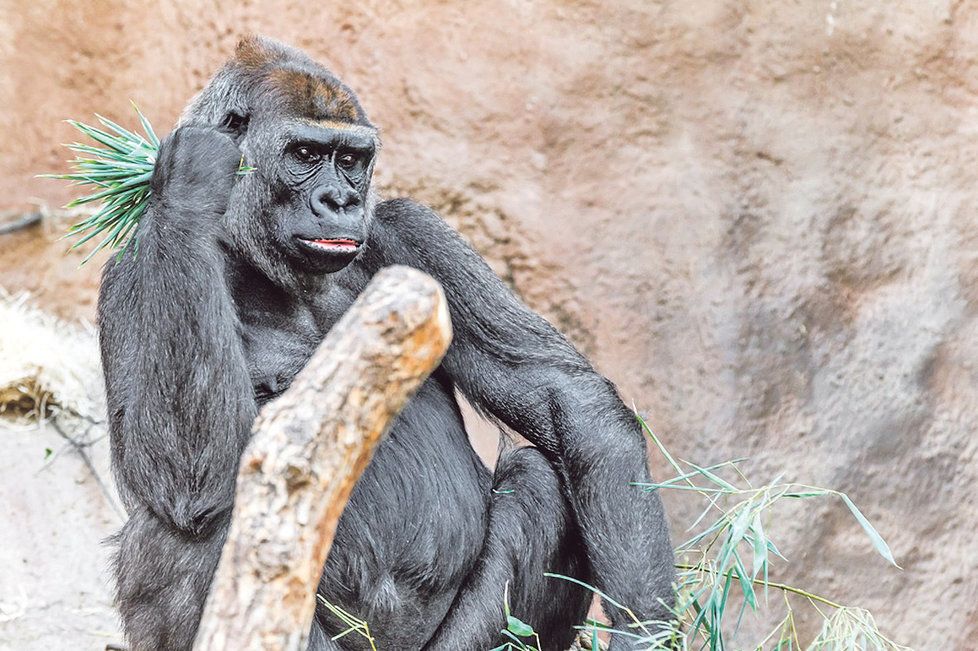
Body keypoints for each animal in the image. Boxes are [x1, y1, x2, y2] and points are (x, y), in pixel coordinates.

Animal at [99, 37, 676, 651]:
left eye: (351, 160)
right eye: (305, 154)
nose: (340, 200)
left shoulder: (409, 231)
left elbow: (564, 396)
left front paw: (646, 630)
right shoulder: (131, 267)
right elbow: (186, 476)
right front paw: (189, 179)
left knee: (542, 478)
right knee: (196, 524)